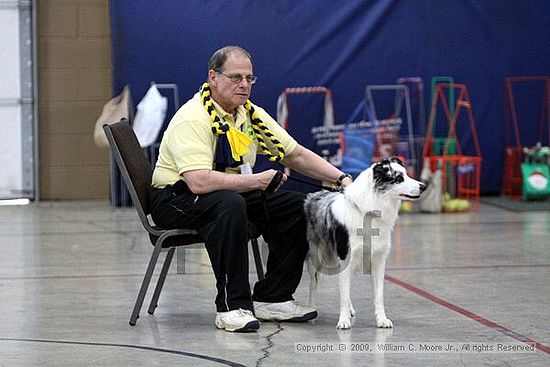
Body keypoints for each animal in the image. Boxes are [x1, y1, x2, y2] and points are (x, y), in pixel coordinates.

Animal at [306, 157, 426, 330]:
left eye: (407, 174)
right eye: (398, 179)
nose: (424, 186)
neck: (368, 212)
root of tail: (310, 196)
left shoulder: (378, 260)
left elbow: (378, 295)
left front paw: (382, 320)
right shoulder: (346, 257)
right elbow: (343, 292)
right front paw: (343, 321)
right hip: (315, 258)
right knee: (313, 285)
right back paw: (310, 310)